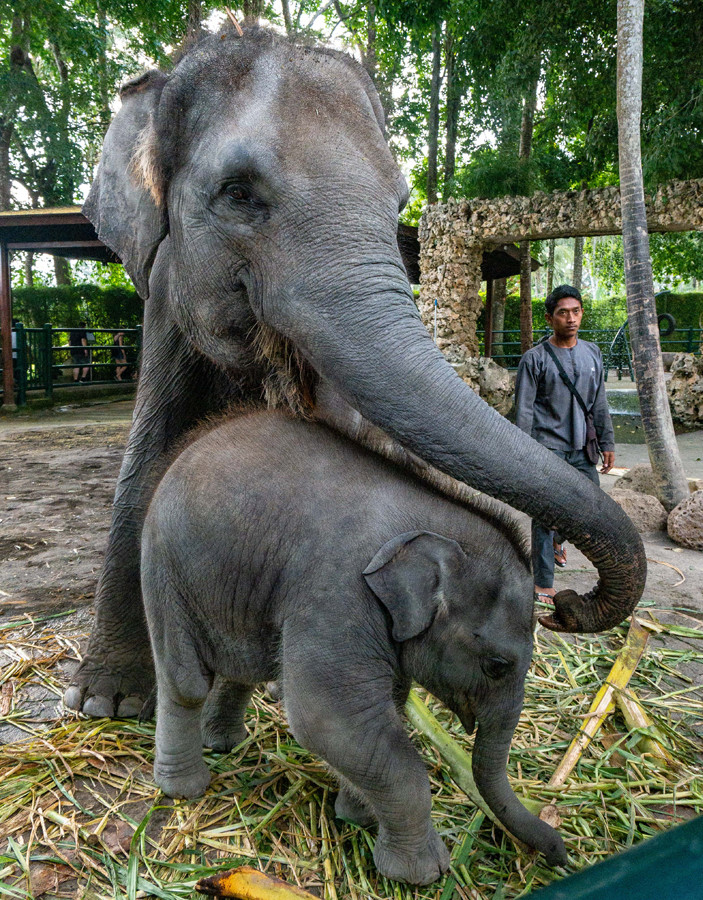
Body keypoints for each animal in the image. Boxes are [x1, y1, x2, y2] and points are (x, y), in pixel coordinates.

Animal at [66, 26, 644, 716]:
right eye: (238, 193)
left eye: (399, 205)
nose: (566, 608)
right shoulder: (162, 300)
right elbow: (148, 453)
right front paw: (106, 702)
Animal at [142, 410, 568, 884]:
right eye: (497, 664)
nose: (561, 853)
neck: (430, 528)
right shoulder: (338, 593)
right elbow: (327, 717)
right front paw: (421, 873)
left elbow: (378, 714)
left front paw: (355, 816)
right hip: (165, 566)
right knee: (185, 681)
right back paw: (184, 788)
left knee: (242, 667)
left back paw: (224, 744)